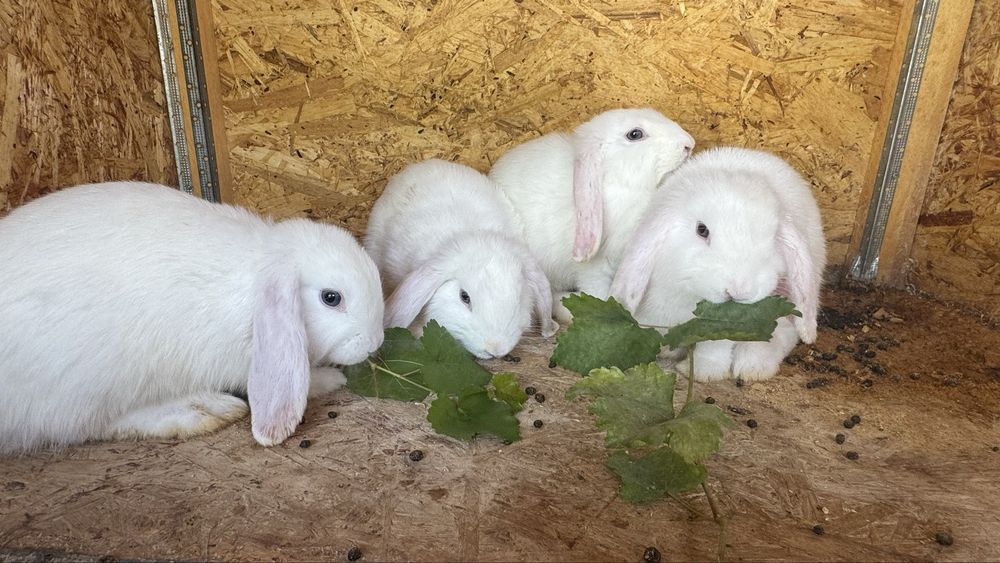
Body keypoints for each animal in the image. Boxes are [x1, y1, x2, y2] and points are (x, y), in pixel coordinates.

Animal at [0, 182, 384, 455]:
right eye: (331, 298)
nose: (374, 343)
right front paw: (330, 380)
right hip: (86, 385)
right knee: (91, 425)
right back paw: (199, 411)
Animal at [609, 146, 826, 382]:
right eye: (702, 230)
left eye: (774, 235)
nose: (739, 290)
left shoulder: (721, 326)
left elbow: (714, 347)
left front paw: (701, 373)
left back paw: (753, 368)